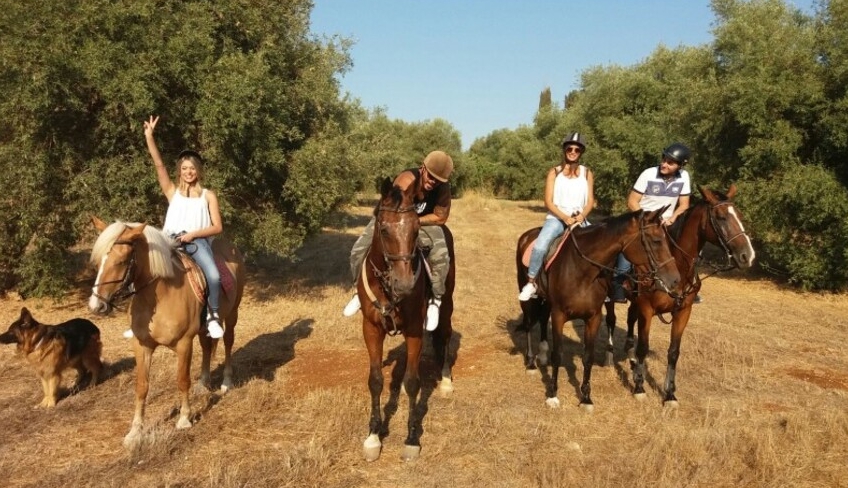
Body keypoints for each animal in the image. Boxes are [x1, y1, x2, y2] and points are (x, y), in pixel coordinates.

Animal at [88, 217, 245, 446]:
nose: (96, 306)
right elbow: (142, 386)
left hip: (232, 314)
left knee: (228, 342)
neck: (161, 295)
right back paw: (203, 384)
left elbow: (182, 380)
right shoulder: (142, 345)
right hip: (202, 329)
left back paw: (226, 382)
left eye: (121, 261)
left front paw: (184, 419)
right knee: (207, 347)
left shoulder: (184, 343)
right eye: (99, 262)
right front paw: (135, 431)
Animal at [356, 176, 454, 462]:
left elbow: (412, 382)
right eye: (384, 229)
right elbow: (375, 380)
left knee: (445, 335)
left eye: (416, 230)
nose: (405, 284)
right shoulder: (371, 328)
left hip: (447, 304)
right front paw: (373, 435)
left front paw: (411, 437)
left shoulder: (414, 330)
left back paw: (446, 380)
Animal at [512, 208, 680, 410]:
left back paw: (541, 355)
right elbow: (558, 355)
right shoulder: (559, 315)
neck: (582, 271)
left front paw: (585, 397)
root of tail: (527, 235)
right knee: (529, 323)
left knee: (543, 319)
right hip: (527, 292)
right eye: (656, 241)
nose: (675, 280)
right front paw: (552, 395)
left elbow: (588, 357)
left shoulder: (593, 317)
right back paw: (531, 363)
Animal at [604, 185, 756, 406]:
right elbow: (643, 347)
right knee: (610, 320)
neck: (676, 265)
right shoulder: (647, 310)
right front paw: (639, 387)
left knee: (630, 321)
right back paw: (609, 358)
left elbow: (674, 352)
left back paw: (631, 359)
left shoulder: (683, 311)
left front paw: (669, 394)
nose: (747, 256)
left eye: (740, 215)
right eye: (720, 217)